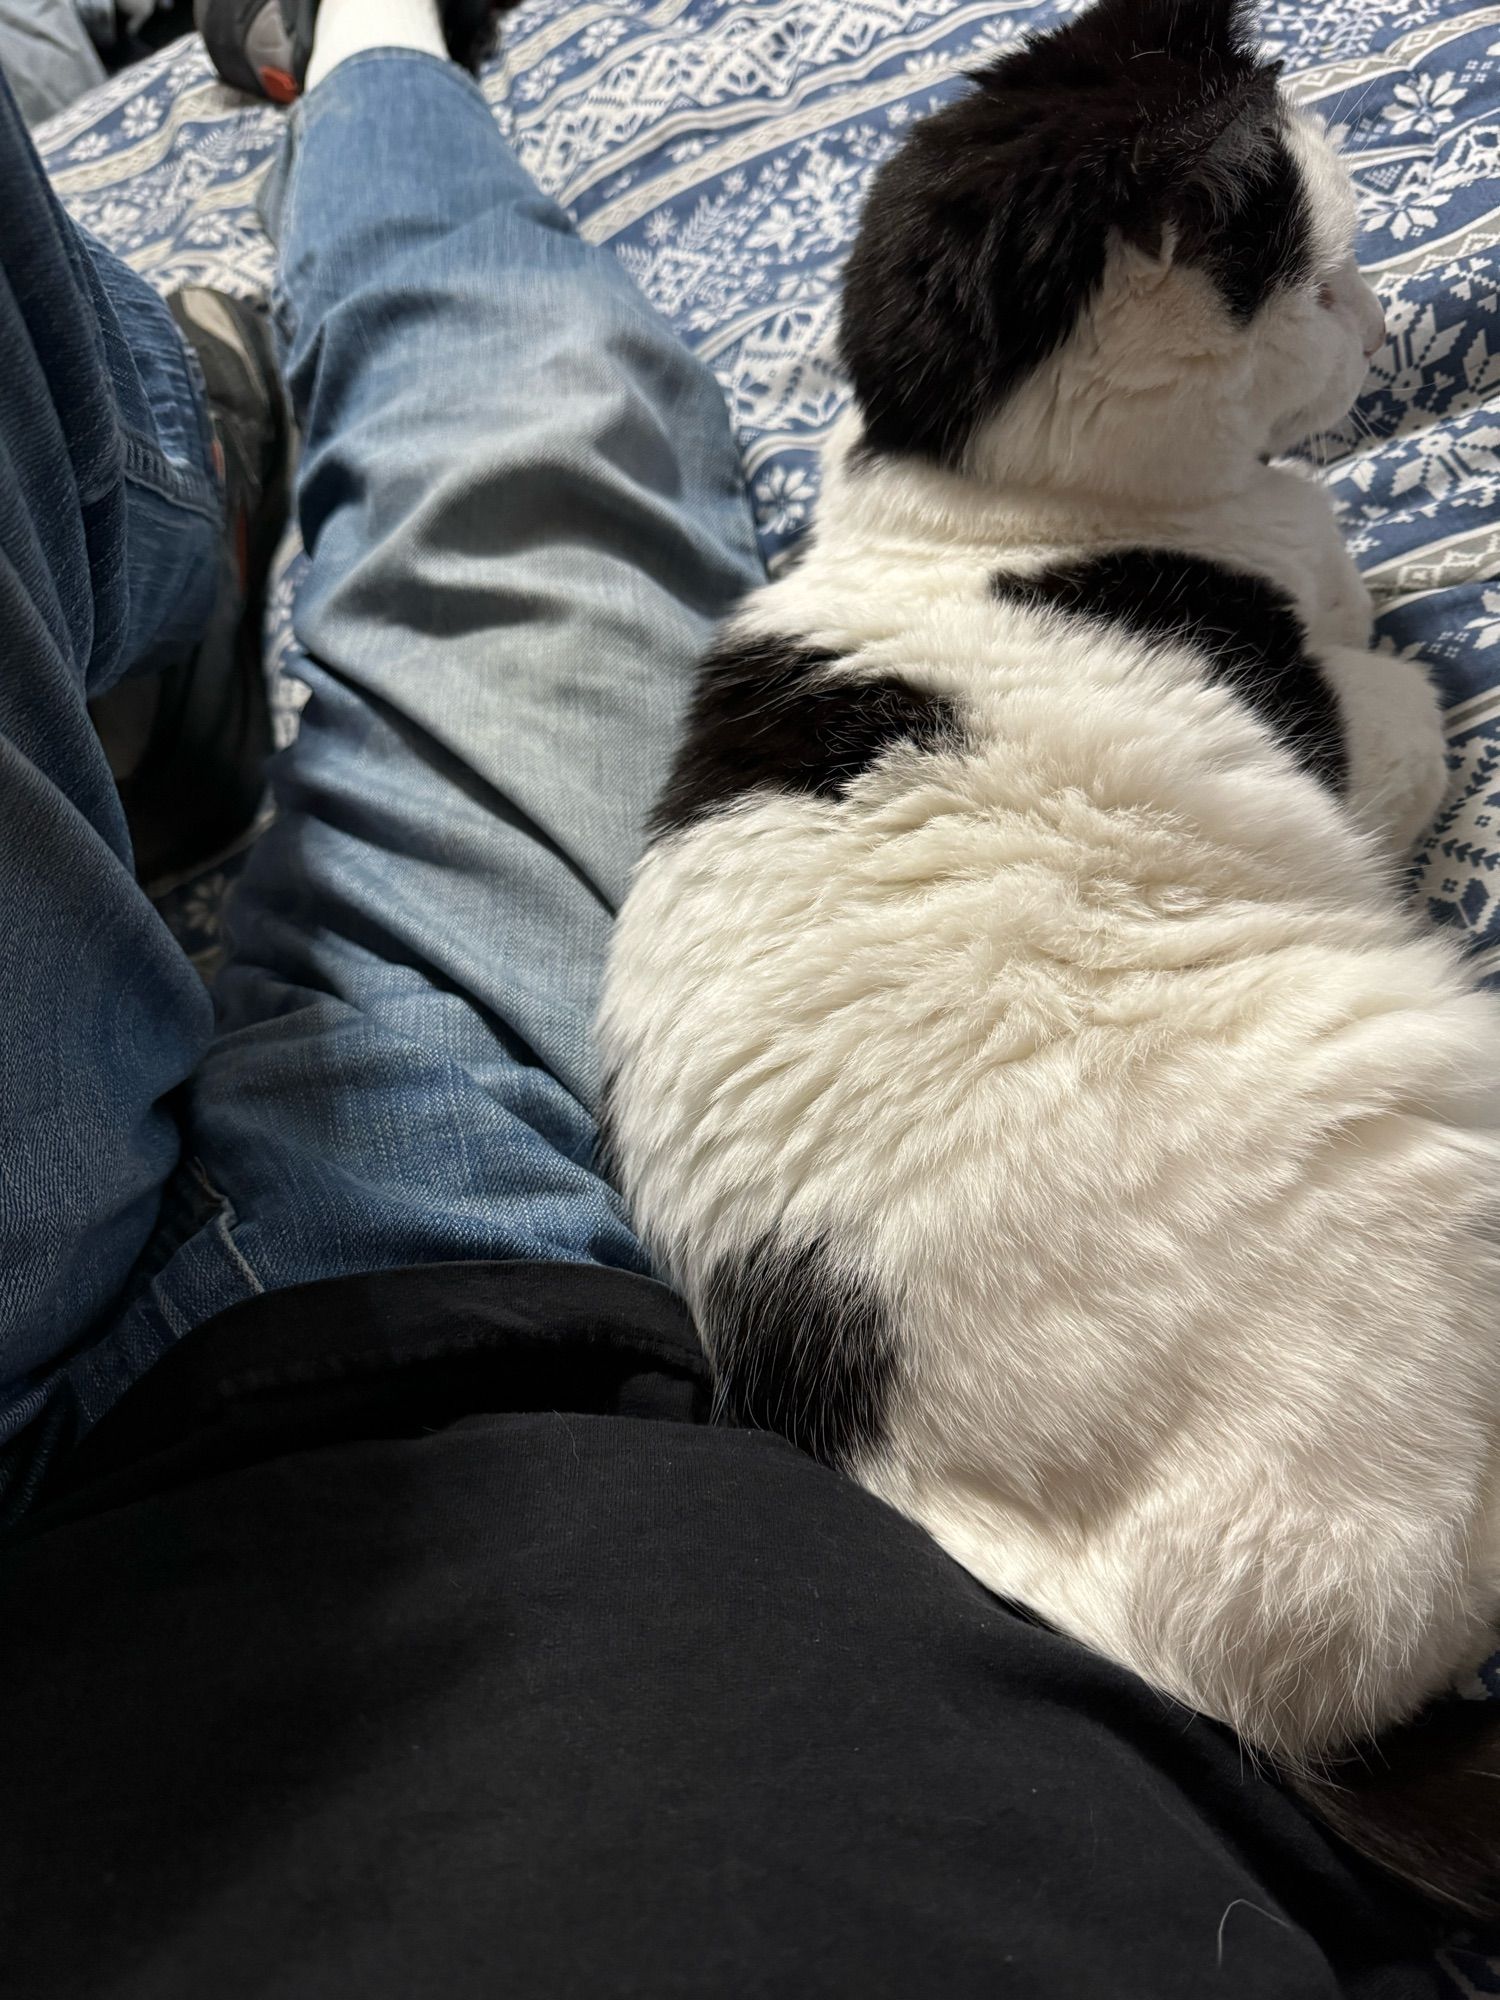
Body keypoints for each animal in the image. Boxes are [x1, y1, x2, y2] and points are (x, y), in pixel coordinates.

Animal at [596, 0, 1500, 1912]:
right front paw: (1425, 623)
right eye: (1315, 270)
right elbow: (1401, 683)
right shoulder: (1350, 716)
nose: (1383, 316)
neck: (980, 510)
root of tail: (1207, 1691)